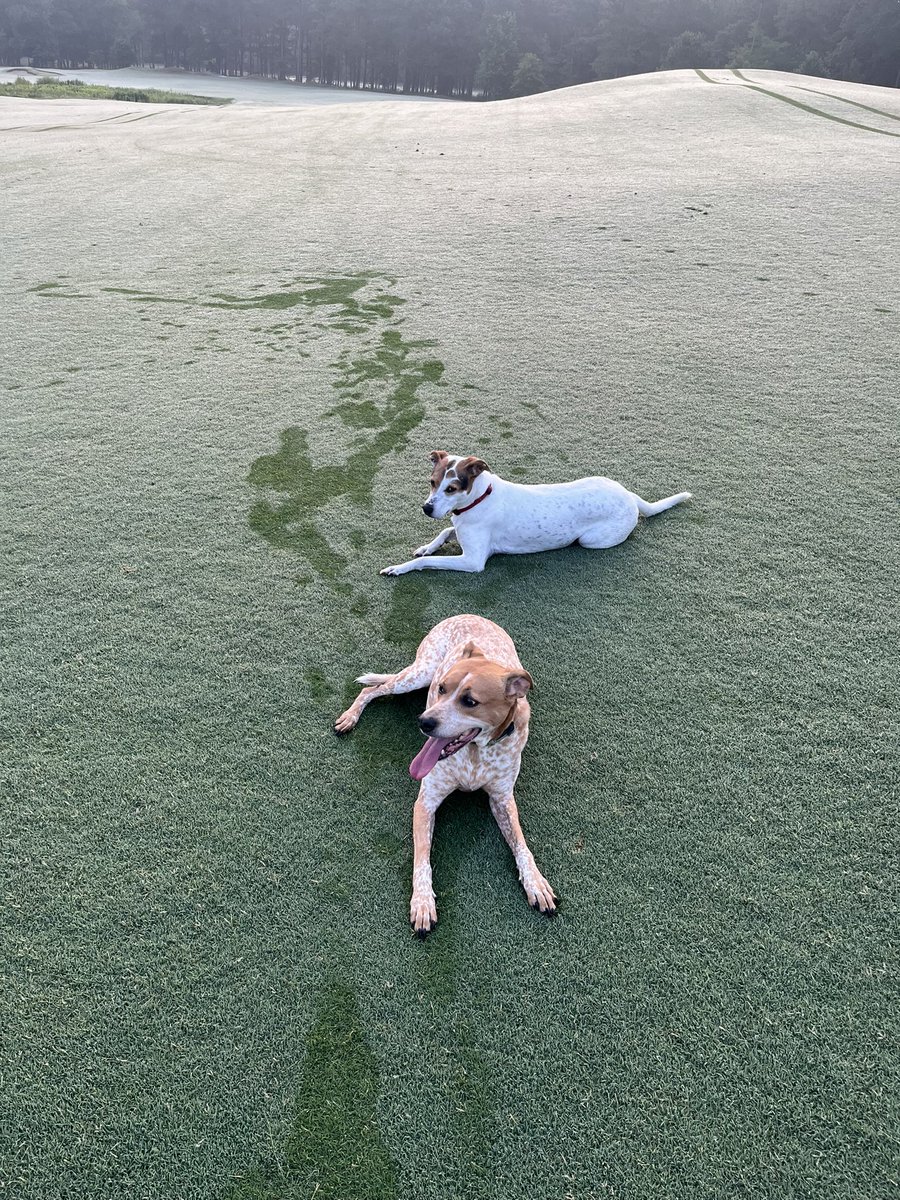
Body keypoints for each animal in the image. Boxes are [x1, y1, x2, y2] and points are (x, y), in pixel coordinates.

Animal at [336, 614, 554, 931]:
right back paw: (350, 716)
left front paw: (536, 883)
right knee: (373, 689)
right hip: (417, 674)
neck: (476, 752)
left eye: (470, 702)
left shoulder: (502, 799)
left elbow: (522, 845)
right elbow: (422, 859)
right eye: (442, 689)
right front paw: (423, 902)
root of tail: (468, 615)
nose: (423, 722)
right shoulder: (426, 801)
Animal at [379, 451, 691, 578]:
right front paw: (425, 546)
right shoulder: (460, 526)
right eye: (432, 482)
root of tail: (629, 495)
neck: (480, 498)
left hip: (591, 540)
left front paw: (401, 567)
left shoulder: (472, 561)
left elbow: (427, 561)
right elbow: (443, 532)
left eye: (452, 487)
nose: (426, 508)